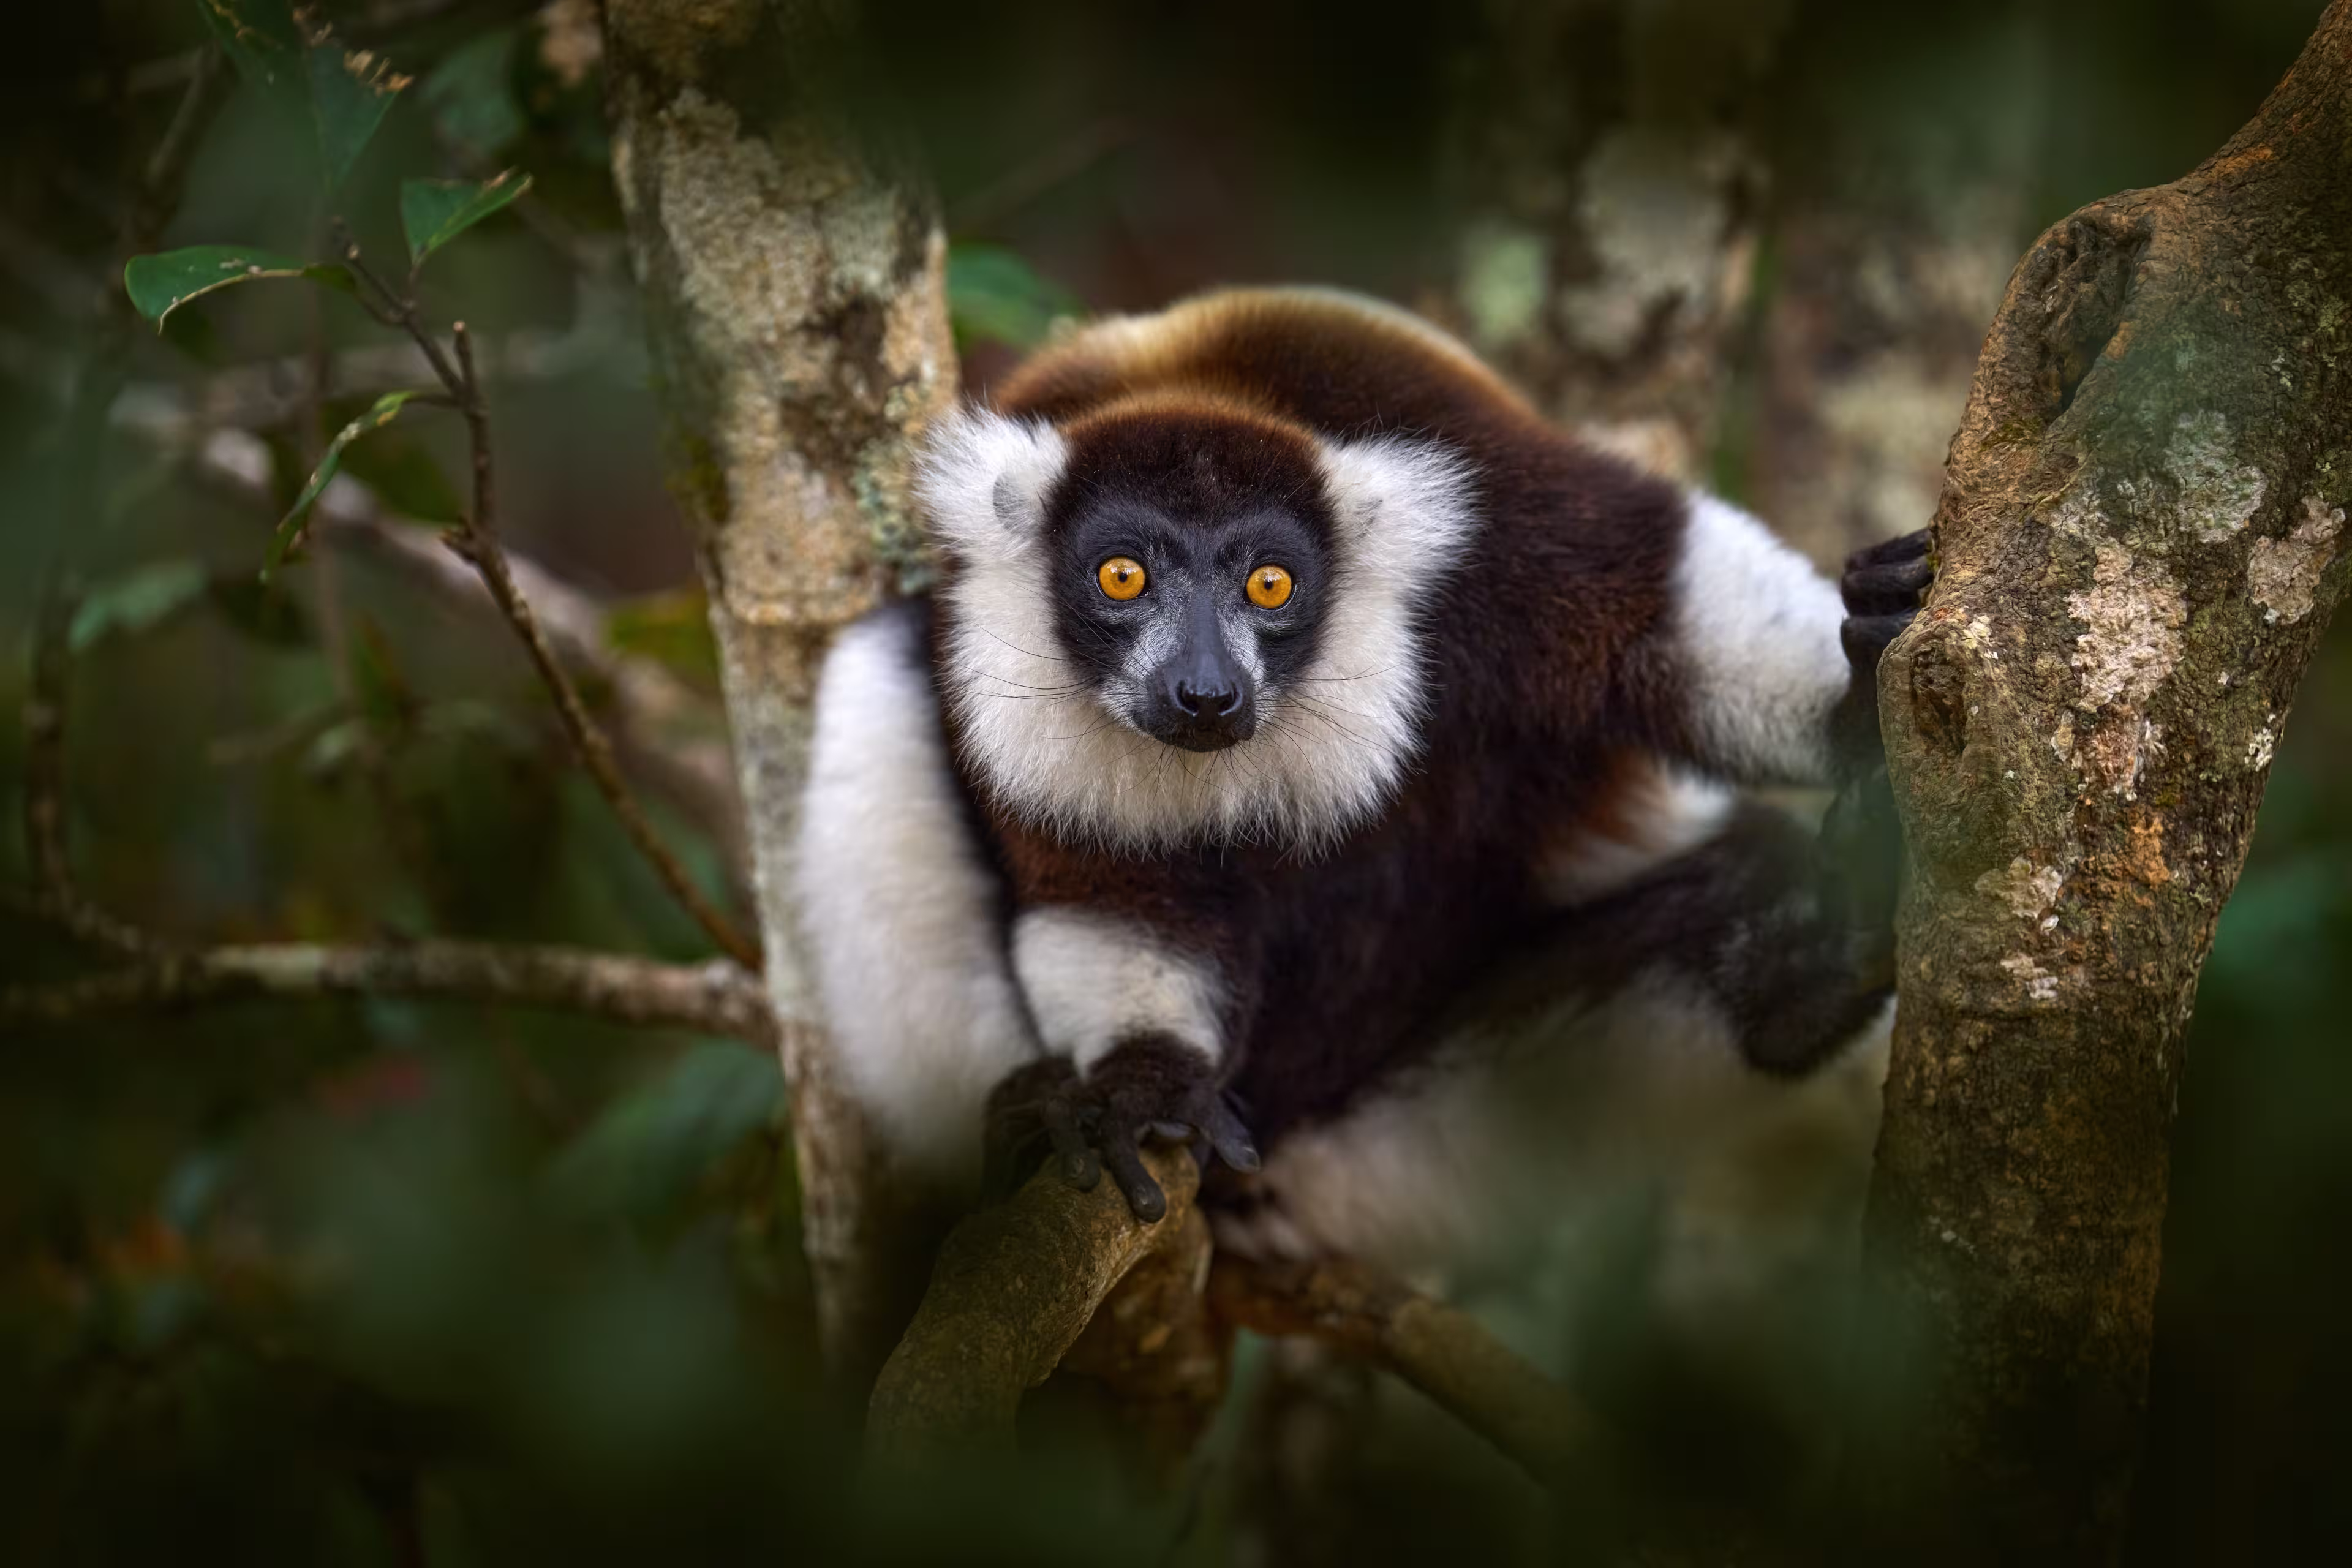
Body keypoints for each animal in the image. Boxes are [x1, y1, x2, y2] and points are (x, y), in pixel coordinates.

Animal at [790, 286, 1929, 1281]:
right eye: (1122, 578)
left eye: (1270, 584)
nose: (1204, 693)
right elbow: (1115, 890)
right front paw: (1143, 1083)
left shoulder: (1497, 507)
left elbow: (1664, 601)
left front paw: (1865, 686)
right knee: (874, 669)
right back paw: (1021, 1119)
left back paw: (1812, 952)